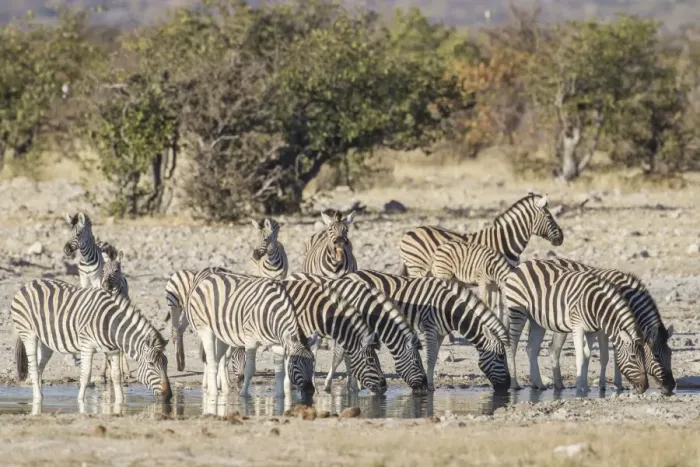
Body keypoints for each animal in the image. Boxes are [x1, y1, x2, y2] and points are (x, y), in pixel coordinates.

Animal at [11, 278, 171, 403]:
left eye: (166, 363)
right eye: (151, 364)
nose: (169, 395)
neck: (111, 325)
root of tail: (30, 283)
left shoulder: (113, 350)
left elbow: (116, 376)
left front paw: (120, 402)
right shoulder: (87, 344)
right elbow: (85, 375)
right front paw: (80, 401)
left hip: (46, 341)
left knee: (39, 367)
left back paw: (40, 395)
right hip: (28, 333)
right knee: (33, 367)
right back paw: (37, 399)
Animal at [185, 267, 319, 398]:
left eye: (313, 362)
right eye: (294, 362)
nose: (310, 390)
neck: (271, 312)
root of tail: (209, 276)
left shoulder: (278, 344)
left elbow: (280, 371)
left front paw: (281, 397)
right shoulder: (250, 340)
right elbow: (250, 370)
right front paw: (244, 395)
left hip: (221, 334)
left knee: (218, 361)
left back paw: (219, 390)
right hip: (205, 329)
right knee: (212, 361)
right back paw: (213, 394)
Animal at [288, 271, 510, 393]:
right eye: (500, 356)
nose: (507, 386)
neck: (449, 307)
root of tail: (348, 275)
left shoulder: (439, 332)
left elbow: (434, 357)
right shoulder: (430, 326)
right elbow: (430, 357)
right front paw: (430, 386)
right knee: (340, 353)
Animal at [503, 259, 648, 394]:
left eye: (644, 357)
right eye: (633, 357)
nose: (645, 386)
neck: (596, 306)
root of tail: (524, 263)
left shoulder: (591, 331)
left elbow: (587, 355)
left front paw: (585, 387)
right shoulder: (578, 327)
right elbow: (580, 357)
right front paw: (579, 388)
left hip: (537, 320)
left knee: (531, 348)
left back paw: (539, 385)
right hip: (517, 310)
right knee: (513, 345)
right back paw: (515, 384)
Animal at [537, 258, 675, 395]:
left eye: (670, 354)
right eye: (656, 356)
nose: (671, 387)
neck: (626, 296)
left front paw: (618, 384)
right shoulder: (605, 328)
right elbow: (606, 356)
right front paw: (603, 385)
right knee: (554, 348)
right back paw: (557, 385)